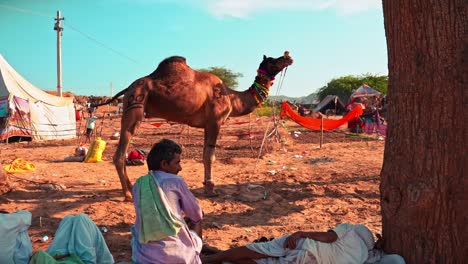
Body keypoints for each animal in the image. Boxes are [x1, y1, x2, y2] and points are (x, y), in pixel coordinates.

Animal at [93, 51, 292, 200]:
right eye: (273, 60)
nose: (288, 57)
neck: (232, 97)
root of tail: (128, 88)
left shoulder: (207, 125)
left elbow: (205, 155)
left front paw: (207, 185)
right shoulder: (215, 121)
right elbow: (210, 156)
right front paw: (211, 189)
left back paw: (129, 188)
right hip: (134, 106)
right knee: (120, 153)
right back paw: (127, 193)